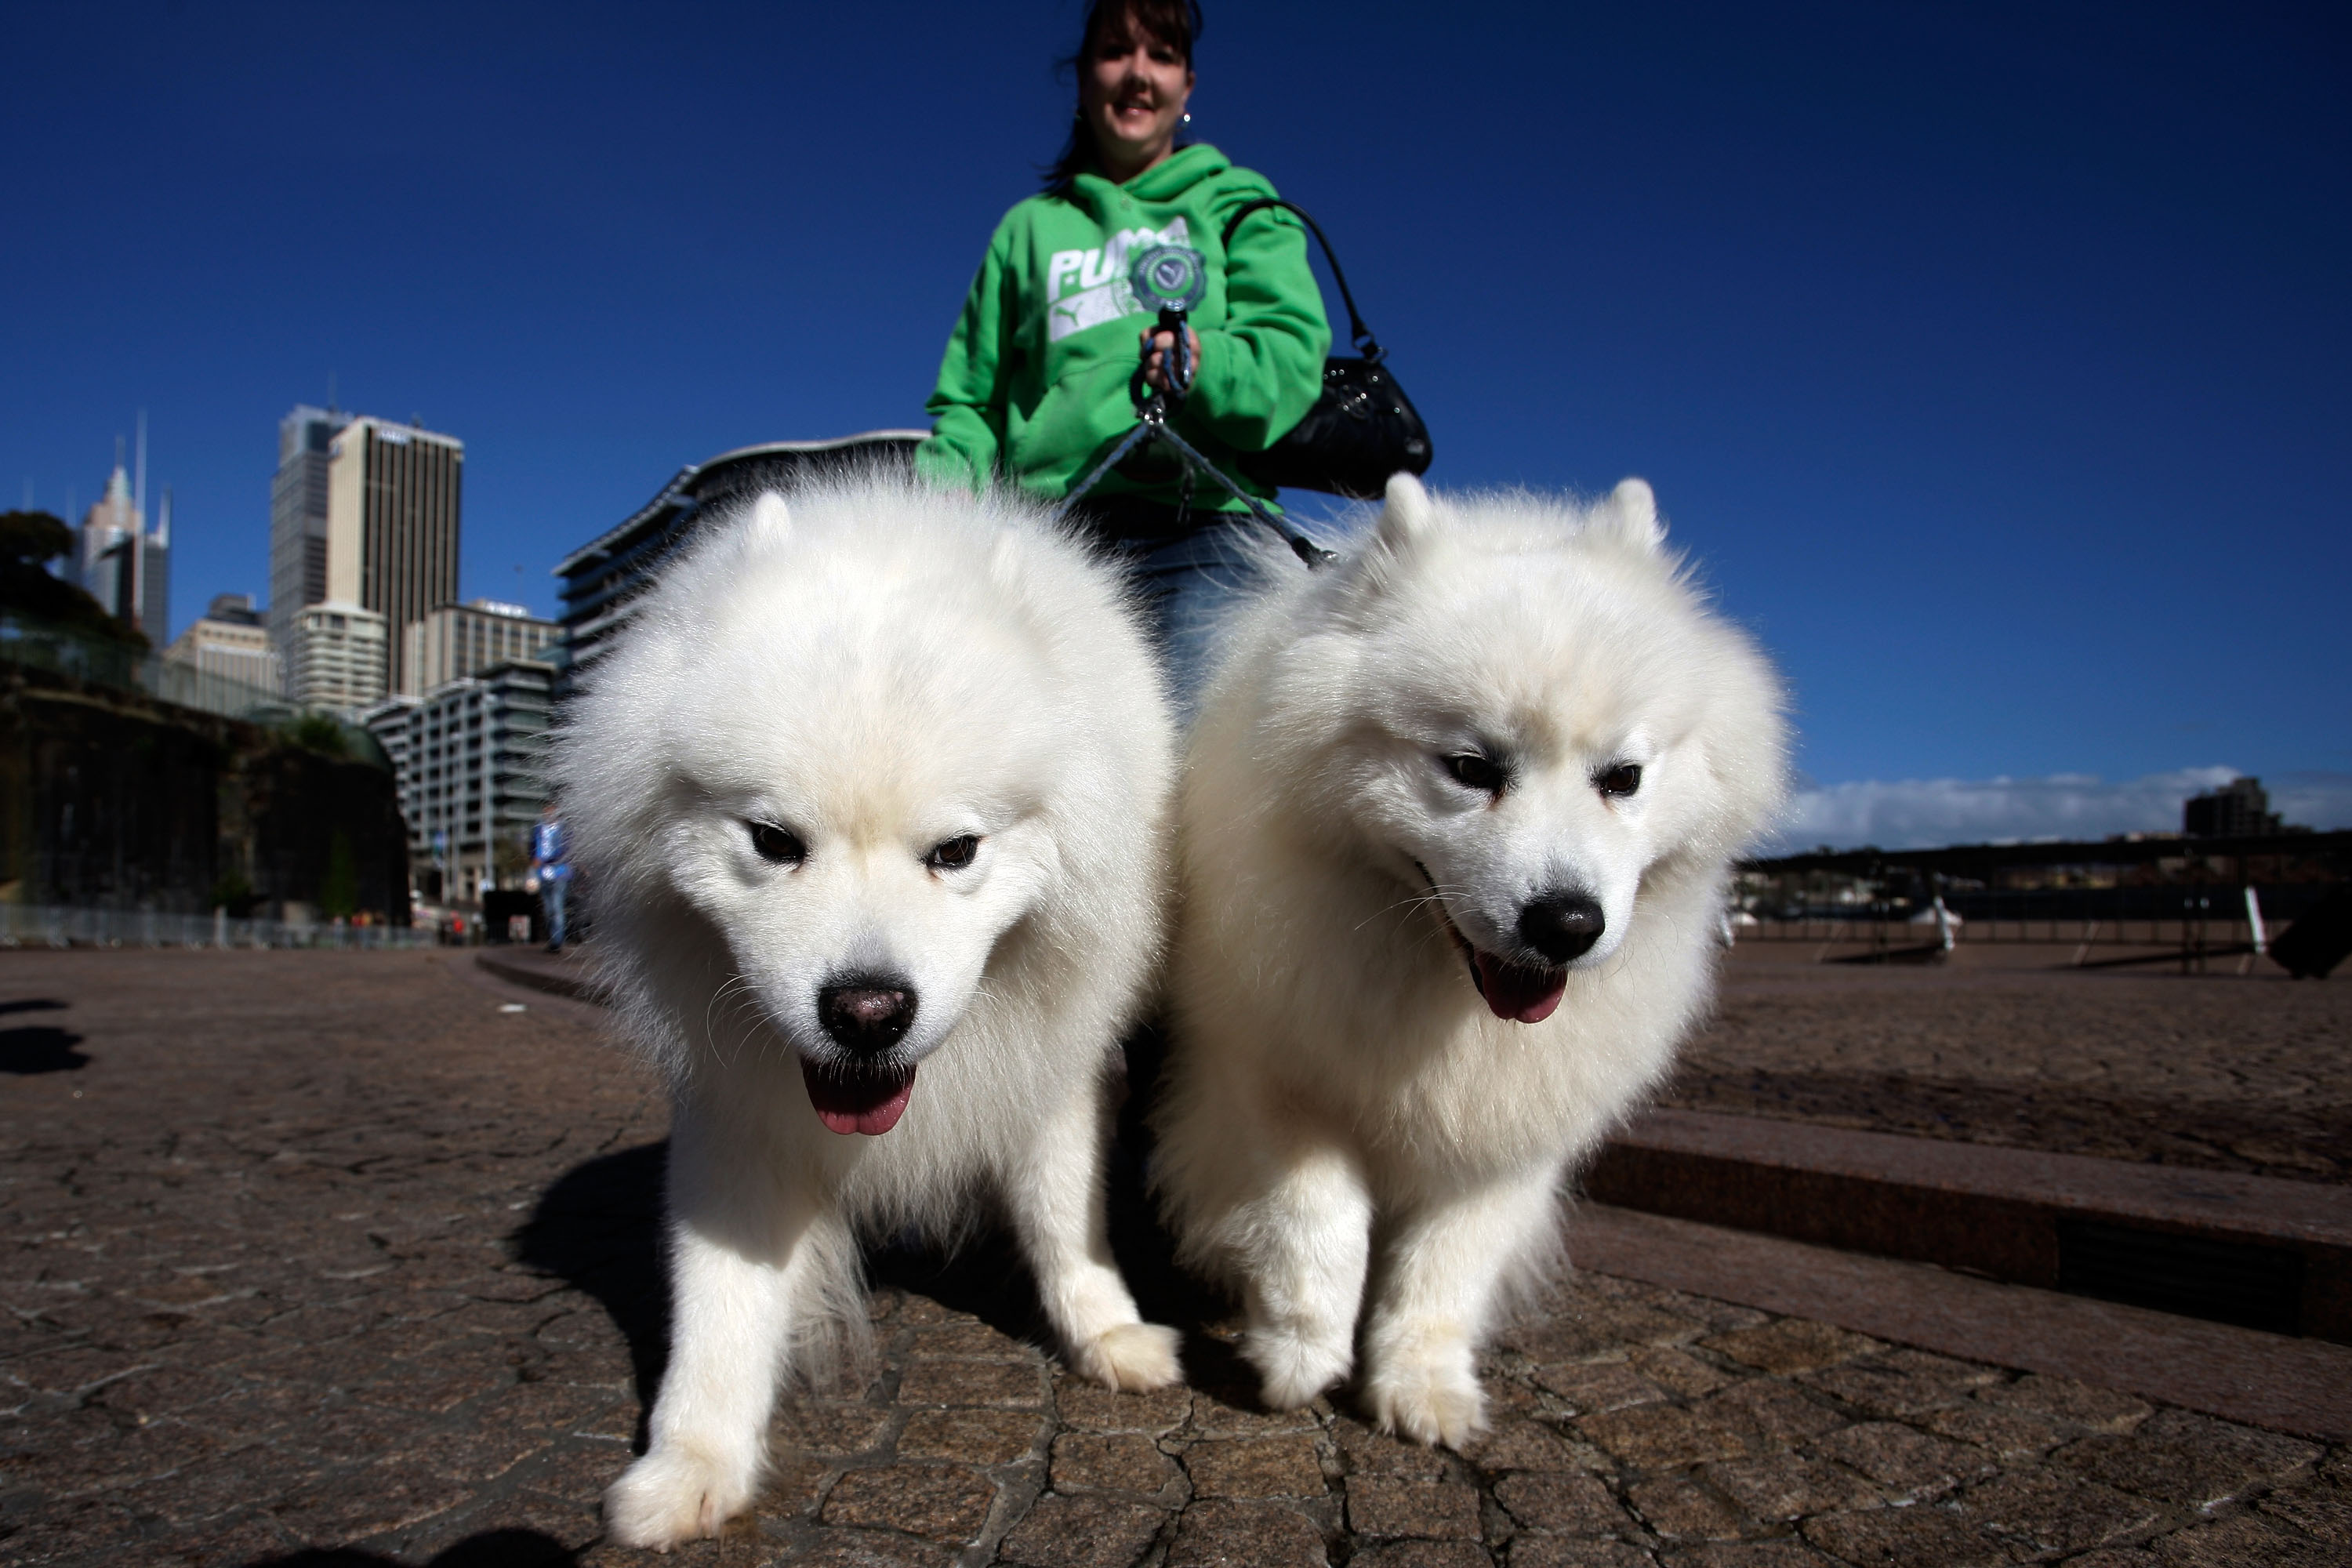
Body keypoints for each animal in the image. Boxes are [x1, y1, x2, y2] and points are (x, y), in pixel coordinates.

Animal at [557, 474, 1185, 1542]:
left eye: (957, 851)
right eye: (772, 840)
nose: (865, 1009)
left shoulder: (1054, 1070)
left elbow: (1065, 1217)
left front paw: (1107, 1330)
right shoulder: (738, 1113)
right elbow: (719, 1302)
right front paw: (692, 1462)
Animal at [1152, 474, 1778, 1448]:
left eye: (1623, 777)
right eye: (1470, 767)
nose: (1567, 921)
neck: (1446, 1002)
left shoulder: (1511, 1123)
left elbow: (1448, 1261)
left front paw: (1422, 1383)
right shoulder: (1270, 1068)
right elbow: (1316, 1215)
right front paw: (1301, 1350)